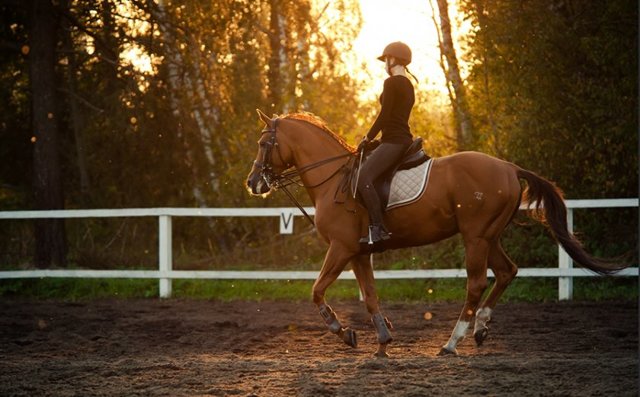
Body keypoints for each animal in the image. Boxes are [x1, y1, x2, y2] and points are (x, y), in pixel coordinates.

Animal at [245, 108, 624, 356]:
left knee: (477, 282)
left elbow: (317, 291)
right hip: (489, 236)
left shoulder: (341, 248)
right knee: (507, 272)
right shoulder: (359, 253)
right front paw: (382, 340)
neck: (334, 178)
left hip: (475, 237)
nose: (252, 183)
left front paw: (343, 332)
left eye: (264, 144)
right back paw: (481, 328)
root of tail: (509, 167)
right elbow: (370, 296)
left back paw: (452, 342)